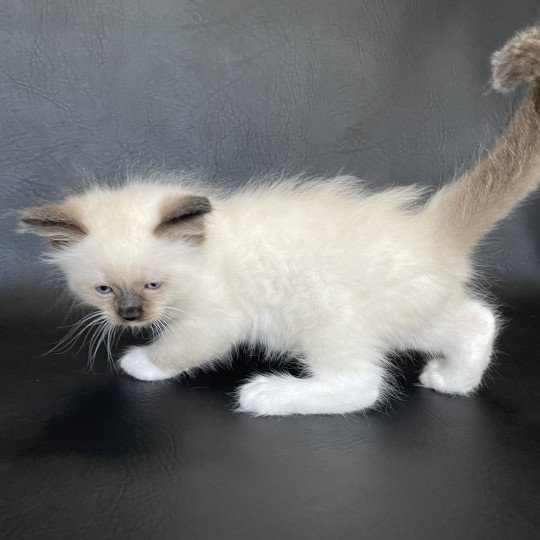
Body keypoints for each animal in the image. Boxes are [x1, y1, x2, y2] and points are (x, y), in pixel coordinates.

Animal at [19, 25, 540, 416]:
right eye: (103, 290)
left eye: (153, 286)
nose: (131, 316)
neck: (208, 252)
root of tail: (430, 230)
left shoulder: (214, 319)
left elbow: (179, 347)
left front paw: (140, 363)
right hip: (413, 315)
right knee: (478, 320)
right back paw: (451, 380)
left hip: (325, 311)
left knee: (361, 385)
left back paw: (267, 394)